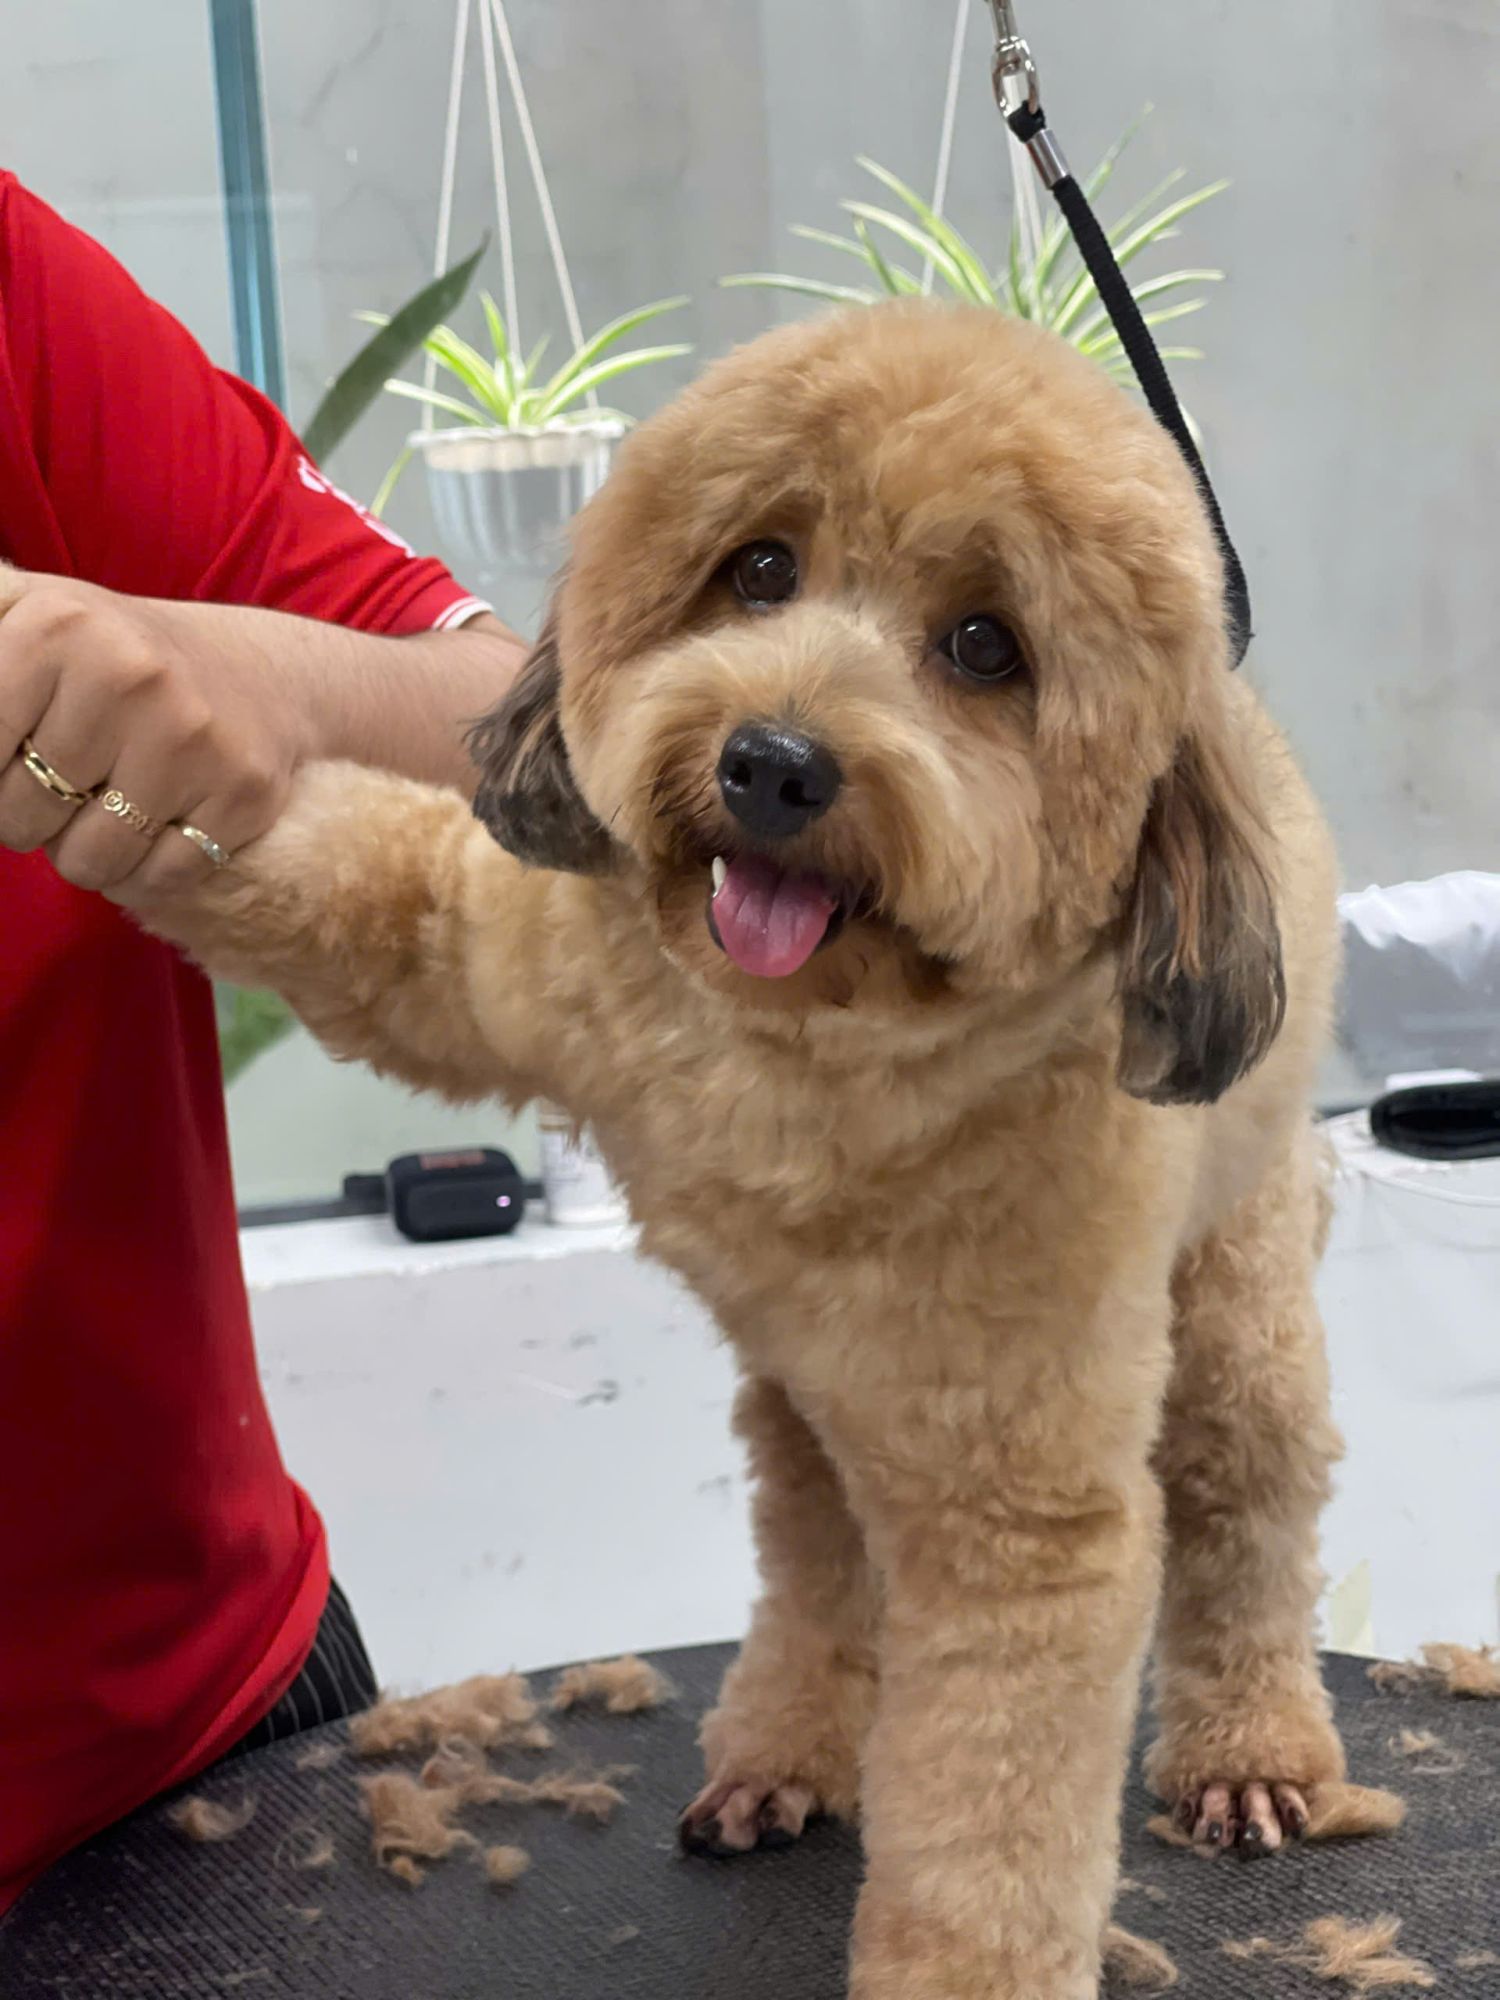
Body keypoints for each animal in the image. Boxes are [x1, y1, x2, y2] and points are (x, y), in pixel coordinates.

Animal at [143, 301, 1349, 1998]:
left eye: (988, 646)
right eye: (762, 568)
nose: (774, 762)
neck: (807, 1058)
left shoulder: (1019, 1517)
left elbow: (989, 1826)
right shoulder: (499, 956)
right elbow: (326, 871)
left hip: (1233, 1293)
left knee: (1248, 1501)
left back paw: (1250, 1753)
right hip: (808, 1393)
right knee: (817, 1546)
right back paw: (781, 1749)